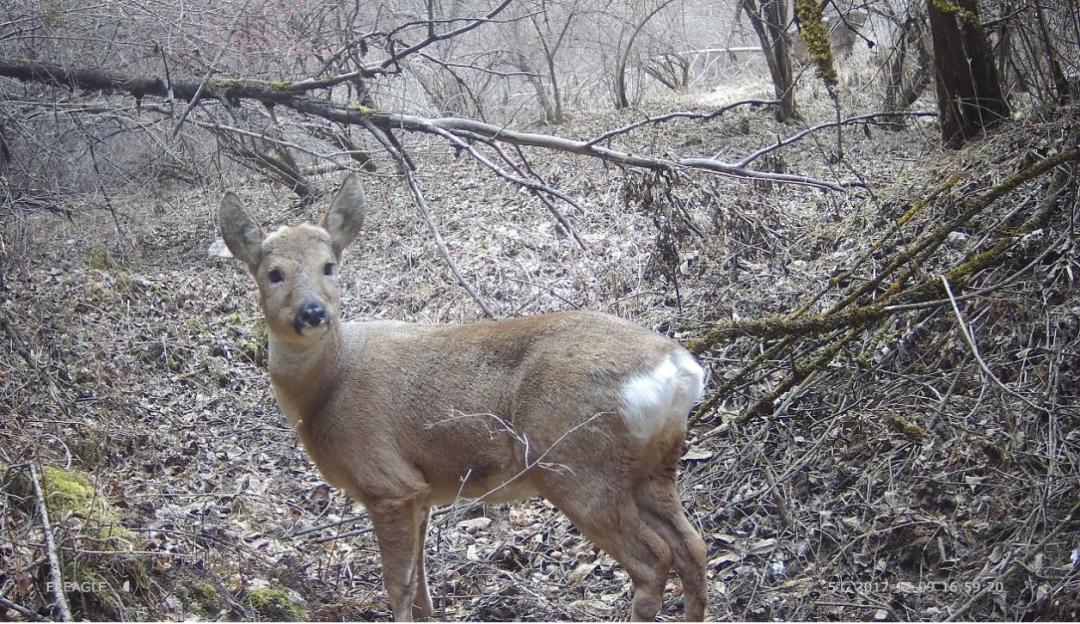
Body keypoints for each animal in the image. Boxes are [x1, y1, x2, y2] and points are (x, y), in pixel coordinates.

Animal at [219, 173, 708, 617]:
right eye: (273, 273)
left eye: (329, 265)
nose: (313, 312)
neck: (325, 389)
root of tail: (679, 368)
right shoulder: (420, 491)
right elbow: (421, 589)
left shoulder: (386, 482)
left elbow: (398, 586)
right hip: (653, 467)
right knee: (693, 546)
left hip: (578, 465)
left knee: (653, 560)